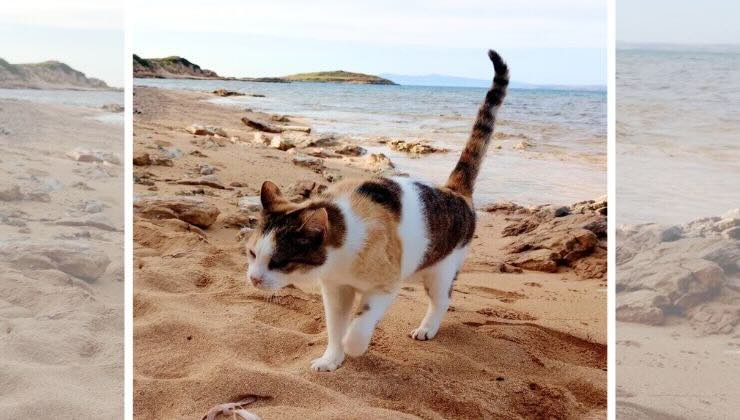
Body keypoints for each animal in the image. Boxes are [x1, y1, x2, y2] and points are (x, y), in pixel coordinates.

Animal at [247, 48, 508, 370]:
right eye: (252, 254)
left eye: (279, 262)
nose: (253, 278)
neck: (341, 252)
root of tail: (454, 191)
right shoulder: (335, 288)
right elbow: (335, 325)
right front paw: (332, 359)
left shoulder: (385, 284)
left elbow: (360, 323)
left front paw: (353, 346)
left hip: (442, 268)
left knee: (442, 299)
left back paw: (427, 328)